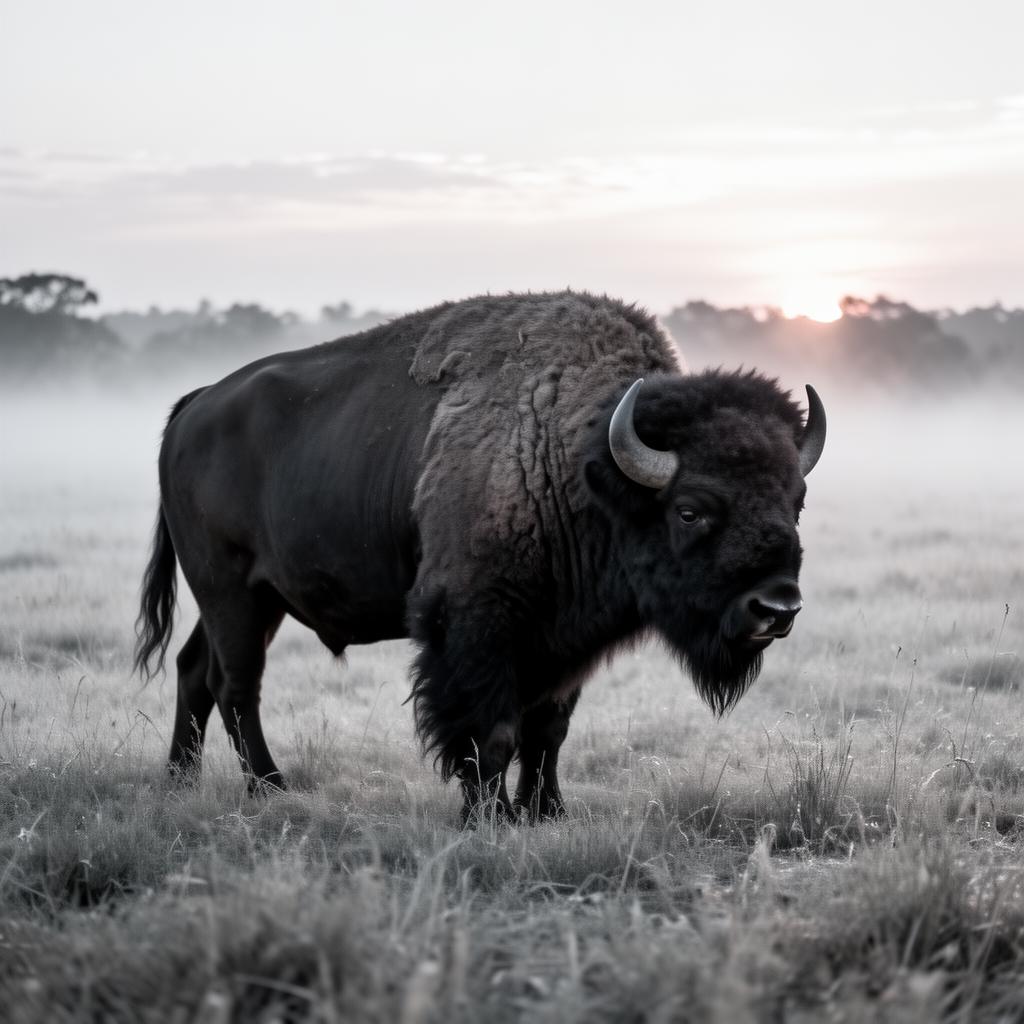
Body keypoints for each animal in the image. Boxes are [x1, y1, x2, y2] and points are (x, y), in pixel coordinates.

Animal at [135, 291, 825, 821]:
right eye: (689, 510)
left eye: (796, 501)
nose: (776, 607)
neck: (571, 455)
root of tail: (193, 407)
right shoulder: (473, 626)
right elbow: (488, 733)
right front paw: (487, 817)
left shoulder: (563, 638)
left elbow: (547, 730)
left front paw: (547, 812)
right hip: (230, 591)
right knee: (236, 685)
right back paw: (268, 788)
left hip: (256, 598)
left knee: (195, 670)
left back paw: (179, 781)